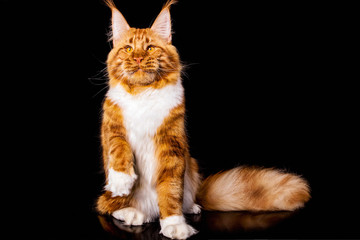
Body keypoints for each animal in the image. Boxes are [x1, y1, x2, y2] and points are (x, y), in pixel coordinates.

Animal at [95, 0, 310, 239]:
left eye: (150, 48)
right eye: (129, 49)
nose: (139, 58)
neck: (143, 93)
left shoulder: (172, 143)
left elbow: (170, 191)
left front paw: (174, 224)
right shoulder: (111, 125)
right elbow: (118, 147)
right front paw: (122, 180)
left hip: (192, 168)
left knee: (180, 198)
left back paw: (190, 207)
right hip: (113, 197)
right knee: (105, 205)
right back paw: (133, 213)